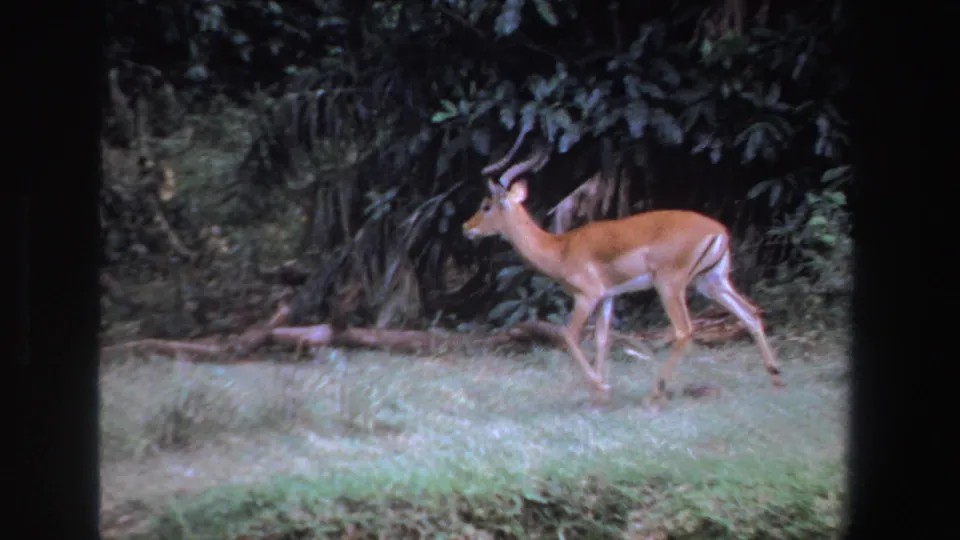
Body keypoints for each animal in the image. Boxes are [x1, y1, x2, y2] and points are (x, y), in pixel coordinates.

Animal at [463, 135, 784, 404]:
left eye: (487, 204)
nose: (467, 227)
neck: (561, 248)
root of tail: (718, 231)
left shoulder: (587, 296)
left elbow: (569, 335)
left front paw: (600, 386)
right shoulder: (608, 297)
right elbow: (601, 339)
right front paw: (601, 395)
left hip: (670, 285)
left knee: (684, 330)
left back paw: (655, 392)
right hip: (712, 283)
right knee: (750, 314)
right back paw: (776, 380)